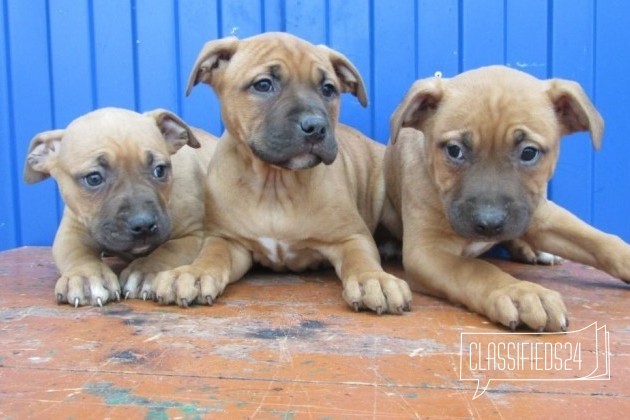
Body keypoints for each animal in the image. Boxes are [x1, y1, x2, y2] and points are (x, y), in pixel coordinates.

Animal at [23, 106, 217, 306]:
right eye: (93, 178)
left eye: (160, 170)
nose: (143, 224)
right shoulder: (70, 231)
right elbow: (77, 253)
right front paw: (86, 276)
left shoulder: (194, 235)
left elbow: (169, 249)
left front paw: (145, 270)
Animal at [151, 32, 412, 314]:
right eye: (263, 85)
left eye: (328, 89)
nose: (316, 127)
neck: (274, 183)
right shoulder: (227, 239)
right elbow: (212, 255)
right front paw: (193, 273)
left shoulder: (351, 236)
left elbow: (360, 258)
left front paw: (373, 279)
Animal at [388, 66, 628, 332]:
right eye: (454, 150)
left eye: (529, 153)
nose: (489, 223)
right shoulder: (425, 251)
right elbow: (475, 268)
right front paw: (520, 292)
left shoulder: (541, 213)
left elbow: (603, 241)